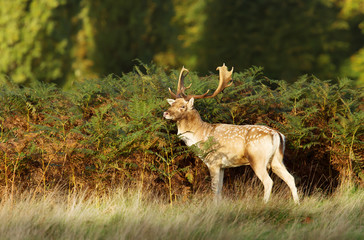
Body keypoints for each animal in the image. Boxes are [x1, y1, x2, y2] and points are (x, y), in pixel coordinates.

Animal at [164, 64, 300, 203]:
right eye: (172, 104)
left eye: (182, 106)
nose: (166, 113)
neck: (201, 134)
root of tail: (277, 135)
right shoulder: (223, 166)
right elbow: (219, 189)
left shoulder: (213, 161)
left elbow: (214, 189)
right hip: (277, 160)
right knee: (290, 178)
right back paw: (296, 204)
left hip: (258, 159)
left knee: (268, 181)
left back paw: (264, 203)